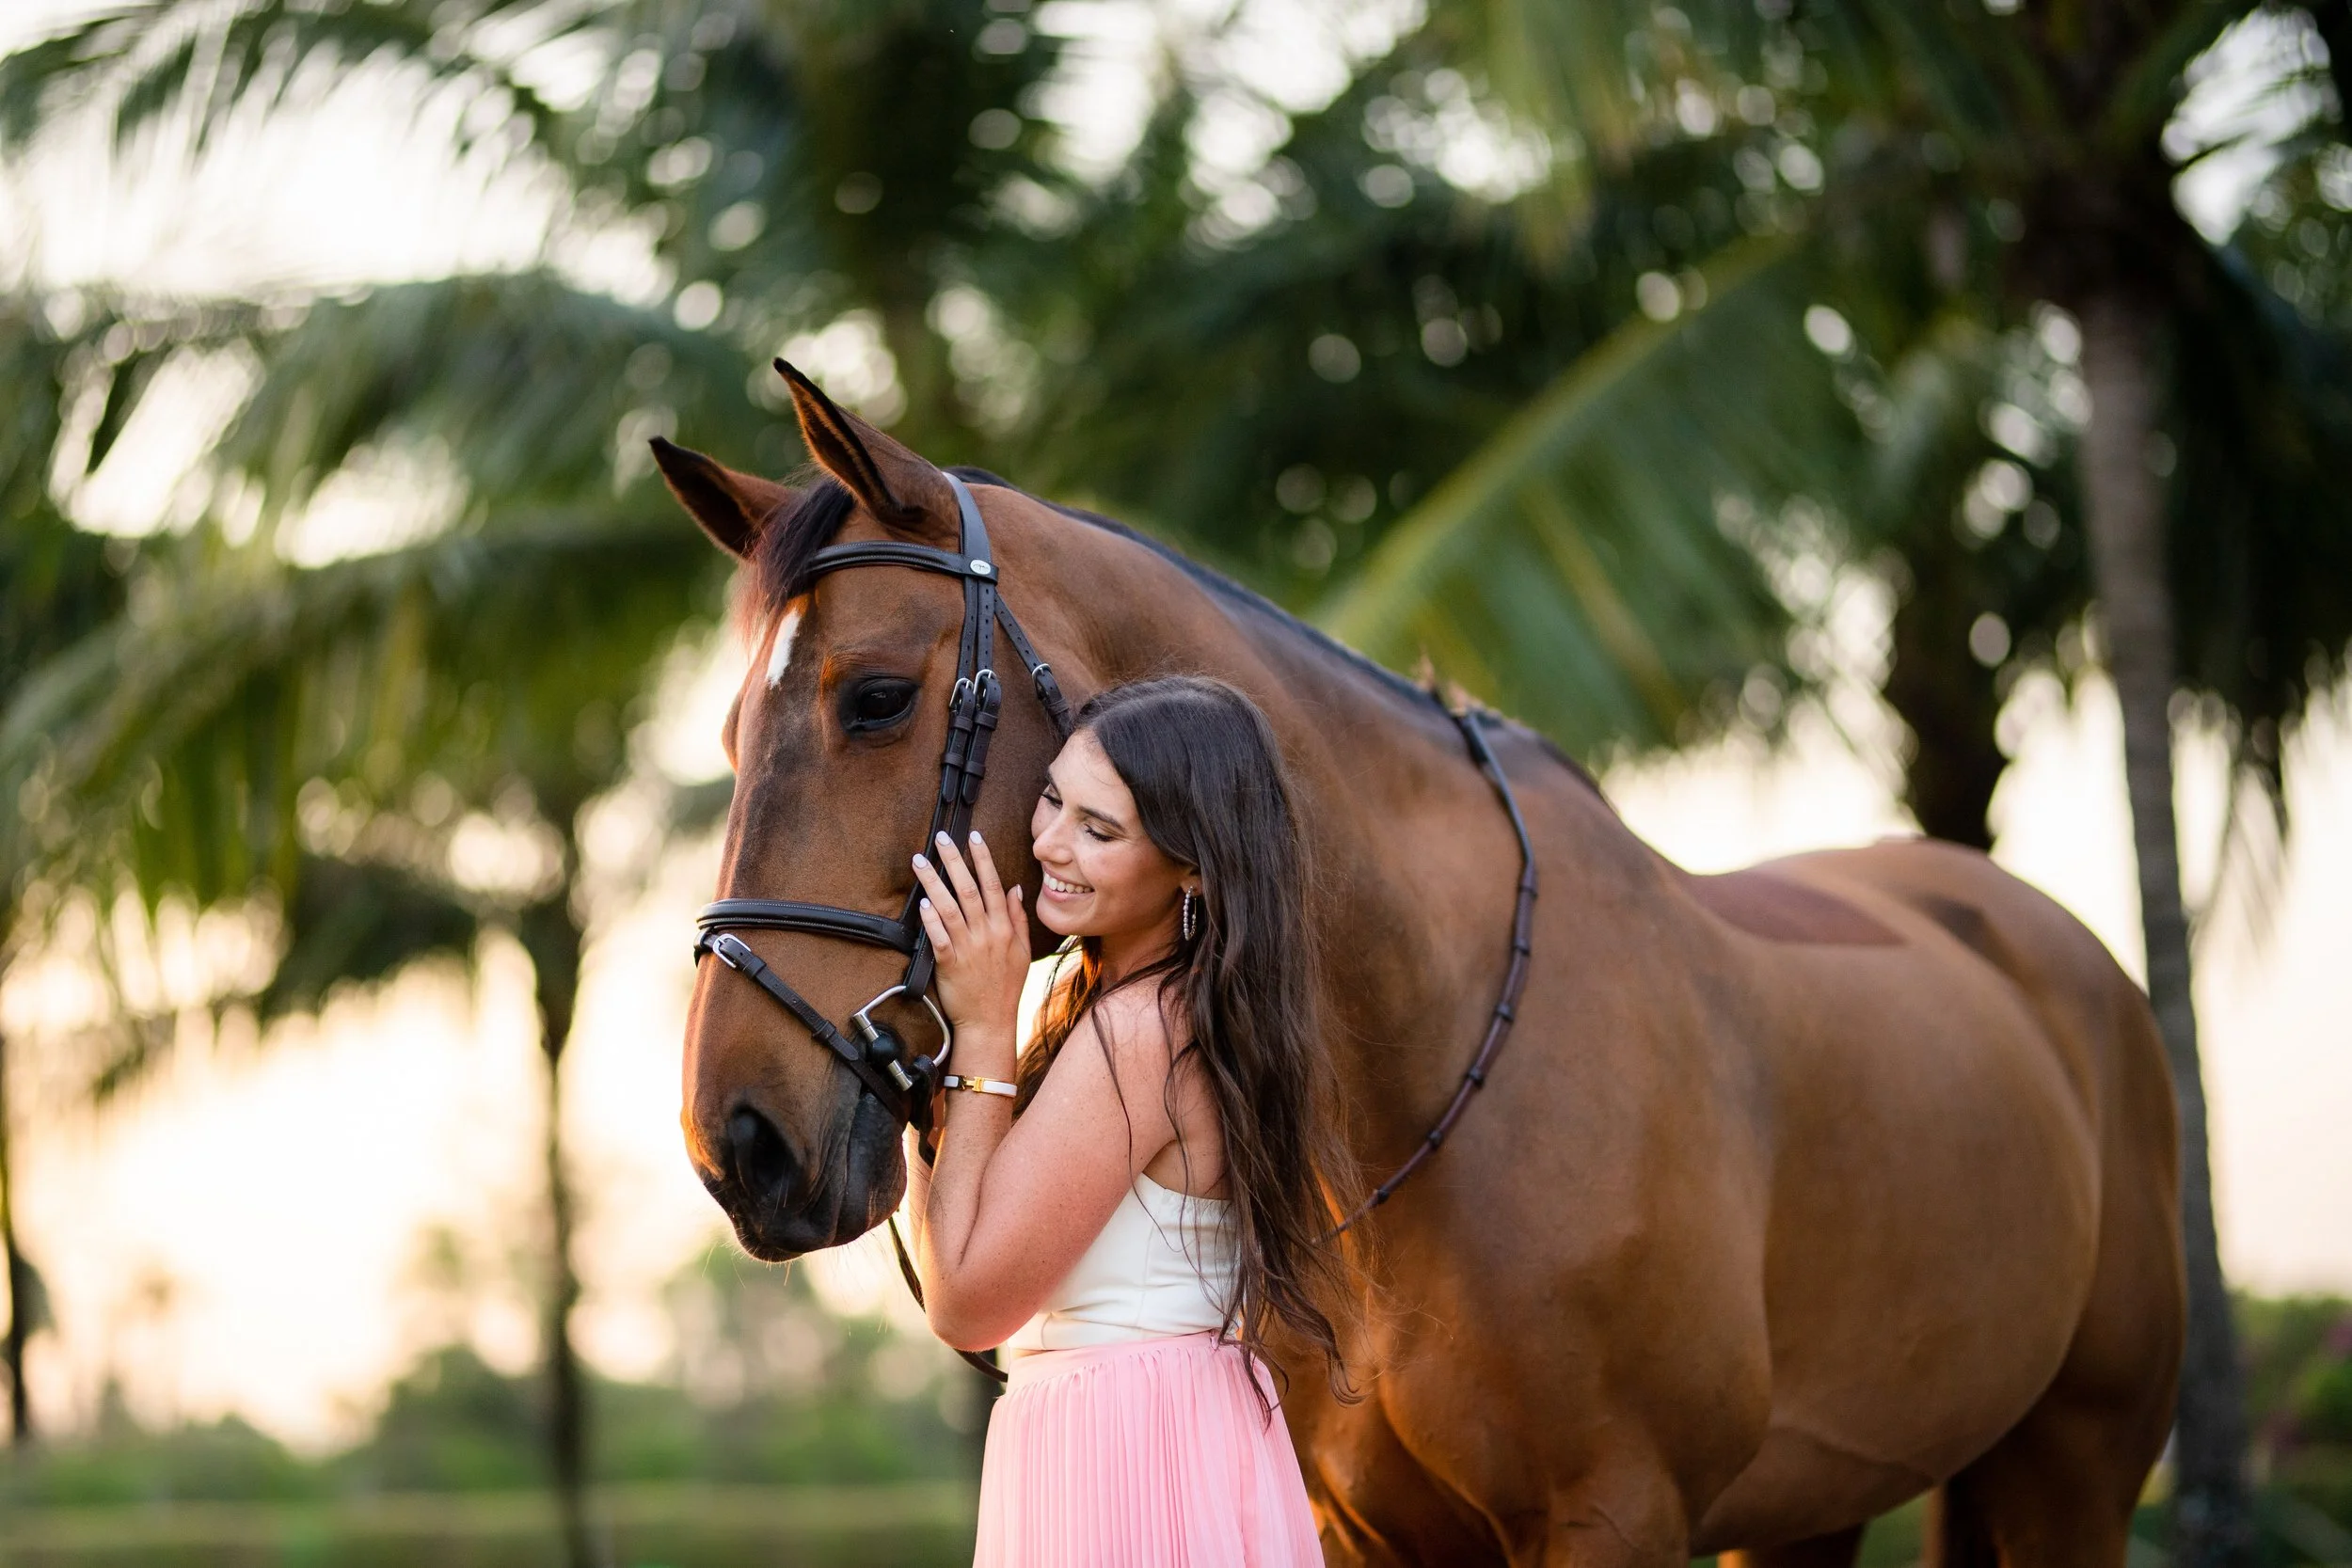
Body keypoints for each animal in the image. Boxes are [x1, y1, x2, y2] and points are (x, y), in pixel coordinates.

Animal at [656, 364, 2184, 1566]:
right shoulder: (1366, 1528)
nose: (739, 1141)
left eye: (875, 699)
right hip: (1814, 1502)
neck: (1422, 1069)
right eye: (725, 732)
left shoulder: (1612, 1516)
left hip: (2077, 1466)